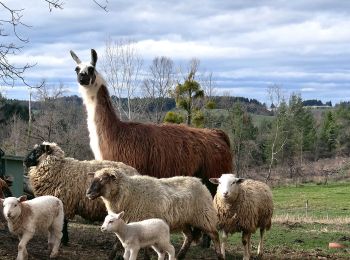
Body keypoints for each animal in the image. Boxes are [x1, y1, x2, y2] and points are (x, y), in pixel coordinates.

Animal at [86, 167, 226, 260]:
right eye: (94, 178)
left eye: (103, 179)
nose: (88, 193)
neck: (129, 192)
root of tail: (200, 183)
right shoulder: (124, 220)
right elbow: (117, 242)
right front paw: (110, 257)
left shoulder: (143, 220)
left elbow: (145, 246)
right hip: (184, 221)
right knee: (189, 237)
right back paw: (180, 256)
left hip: (204, 216)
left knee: (214, 235)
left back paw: (220, 256)